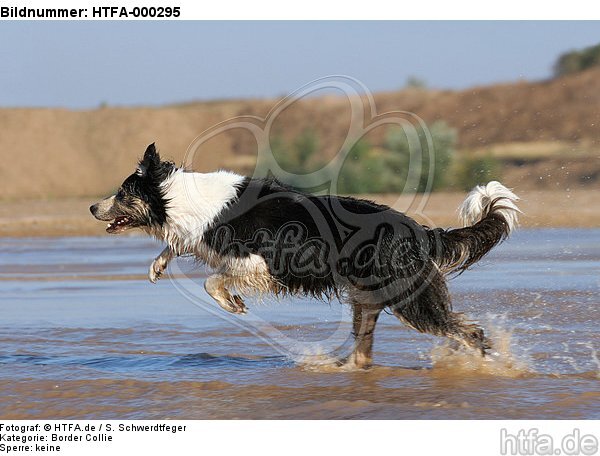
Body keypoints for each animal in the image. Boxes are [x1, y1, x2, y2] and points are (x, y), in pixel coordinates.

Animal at [90, 144, 520, 368]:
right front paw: (157, 266)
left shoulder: (260, 261)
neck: (178, 198)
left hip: (408, 297)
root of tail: (420, 230)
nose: (93, 207)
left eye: (123, 193)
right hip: (366, 299)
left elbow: (214, 280)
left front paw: (234, 304)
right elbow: (179, 248)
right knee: (364, 350)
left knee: (468, 331)